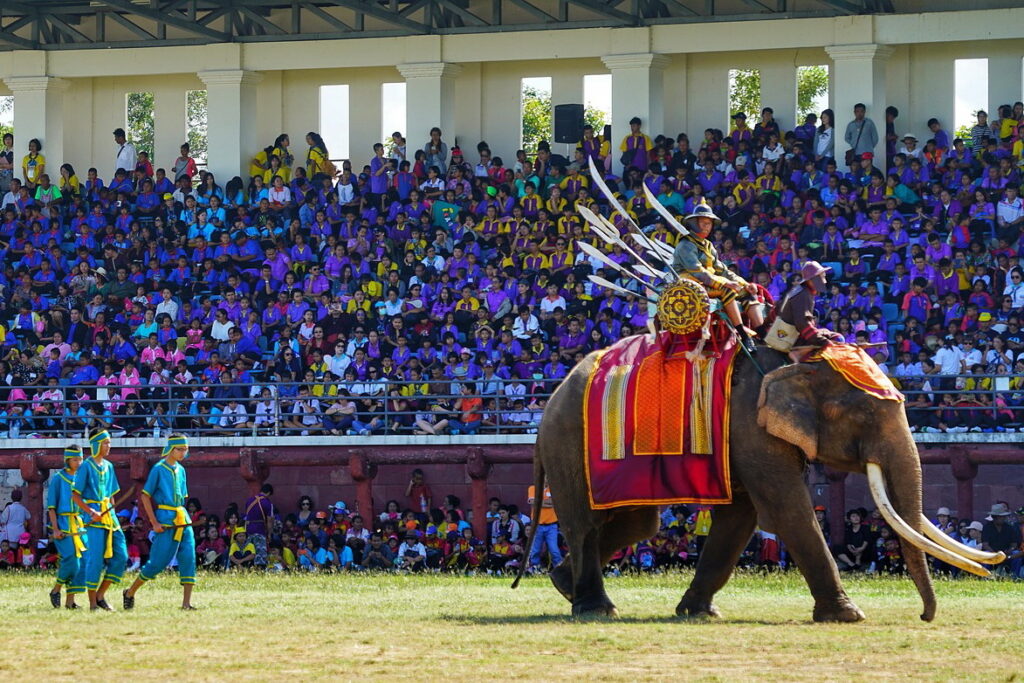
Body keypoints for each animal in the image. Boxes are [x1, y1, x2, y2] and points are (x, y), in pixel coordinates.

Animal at [516, 344, 1003, 622]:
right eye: (866, 413)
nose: (925, 618)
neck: (797, 363)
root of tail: (548, 403)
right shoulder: (750, 424)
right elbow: (786, 509)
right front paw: (848, 615)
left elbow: (741, 518)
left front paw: (699, 613)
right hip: (570, 445)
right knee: (587, 524)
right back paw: (594, 608)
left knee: (636, 525)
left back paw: (563, 584)